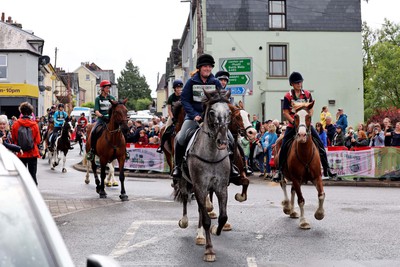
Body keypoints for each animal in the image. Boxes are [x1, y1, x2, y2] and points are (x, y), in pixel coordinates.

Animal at [174, 89, 231, 262]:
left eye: (229, 112)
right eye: (211, 113)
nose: (222, 141)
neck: (211, 155)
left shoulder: (221, 187)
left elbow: (222, 217)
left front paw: (216, 230)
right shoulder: (199, 186)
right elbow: (206, 220)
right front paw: (209, 250)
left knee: (201, 209)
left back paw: (200, 236)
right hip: (185, 182)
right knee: (185, 197)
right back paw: (185, 222)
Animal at [276, 101, 326, 230]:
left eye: (309, 116)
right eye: (295, 117)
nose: (302, 135)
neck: (305, 153)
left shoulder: (316, 177)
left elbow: (321, 195)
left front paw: (319, 214)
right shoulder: (296, 178)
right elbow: (301, 200)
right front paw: (303, 221)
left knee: (292, 190)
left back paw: (293, 211)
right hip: (283, 173)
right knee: (283, 184)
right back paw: (287, 206)